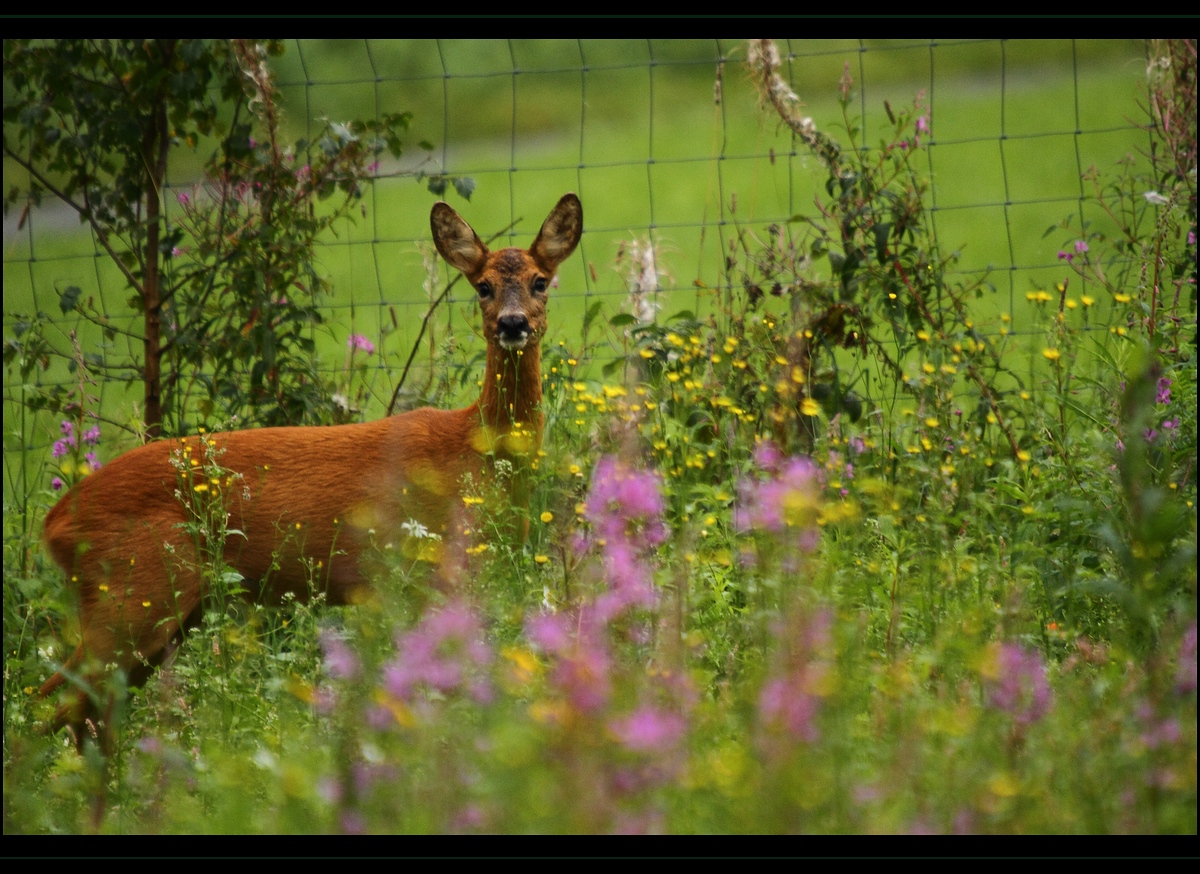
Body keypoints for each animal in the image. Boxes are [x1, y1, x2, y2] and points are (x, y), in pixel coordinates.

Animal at [37, 190, 580, 749]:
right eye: (483, 286)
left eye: (541, 280)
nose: (512, 324)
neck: (476, 451)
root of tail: (54, 523)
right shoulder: (429, 571)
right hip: (132, 593)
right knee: (58, 701)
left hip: (163, 610)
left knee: (79, 706)